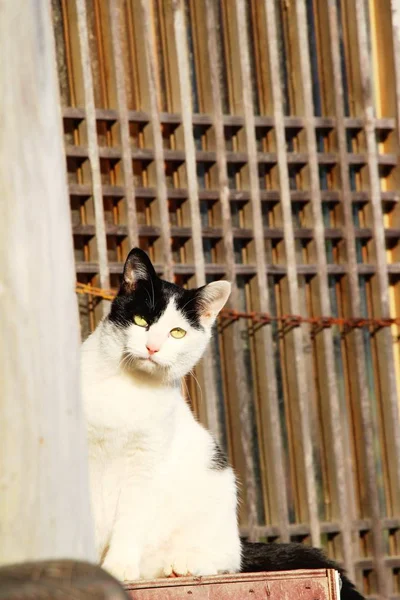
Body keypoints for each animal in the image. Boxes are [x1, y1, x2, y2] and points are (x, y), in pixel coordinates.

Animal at [82, 248, 366, 600]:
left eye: (177, 333)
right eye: (141, 321)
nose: (152, 347)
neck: (128, 387)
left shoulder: (145, 465)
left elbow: (131, 518)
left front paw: (118, 567)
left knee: (227, 560)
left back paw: (182, 565)